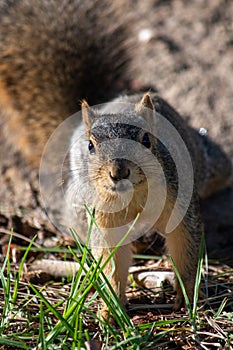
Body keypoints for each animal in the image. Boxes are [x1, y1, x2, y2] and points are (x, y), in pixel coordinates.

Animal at [0, 0, 232, 320]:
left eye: (147, 140)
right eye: (90, 146)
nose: (118, 171)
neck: (134, 199)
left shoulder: (181, 202)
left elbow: (185, 246)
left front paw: (186, 296)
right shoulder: (104, 221)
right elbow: (112, 262)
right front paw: (111, 311)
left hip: (209, 164)